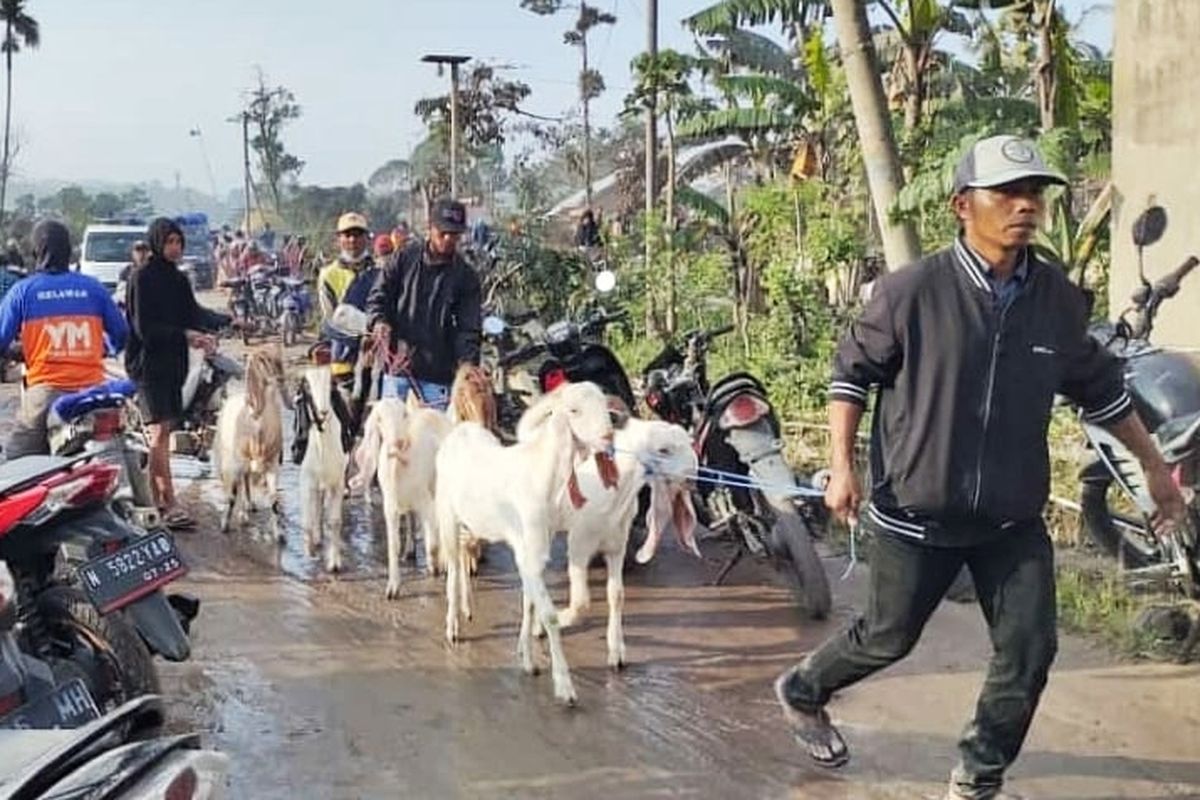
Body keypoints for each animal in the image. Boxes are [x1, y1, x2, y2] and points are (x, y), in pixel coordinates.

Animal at [216, 347, 290, 542]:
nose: (279, 379)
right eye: (264, 361)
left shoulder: (268, 463)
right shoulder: (246, 462)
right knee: (243, 485)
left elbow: (271, 498)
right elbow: (238, 491)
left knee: (243, 485)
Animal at [298, 367, 350, 573]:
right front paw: (310, 549)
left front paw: (334, 563)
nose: (323, 412)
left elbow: (334, 521)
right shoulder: (307, 480)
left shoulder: (338, 481)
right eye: (308, 388)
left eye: (330, 386)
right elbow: (307, 519)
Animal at [355, 393, 453, 599]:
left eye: (404, 415)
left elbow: (433, 543)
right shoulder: (390, 506)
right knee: (410, 518)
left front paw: (436, 566)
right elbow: (393, 545)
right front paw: (393, 587)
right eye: (379, 418)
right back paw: (410, 550)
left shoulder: (427, 503)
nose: (398, 443)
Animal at [434, 383, 619, 705]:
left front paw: (528, 659)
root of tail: (460, 430)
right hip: (447, 513)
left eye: (604, 405)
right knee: (455, 568)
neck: (540, 475)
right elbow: (548, 615)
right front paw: (564, 686)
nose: (608, 437)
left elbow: (529, 603)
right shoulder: (528, 552)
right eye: (574, 410)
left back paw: (467, 608)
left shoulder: (536, 548)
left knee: (465, 554)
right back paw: (453, 625)